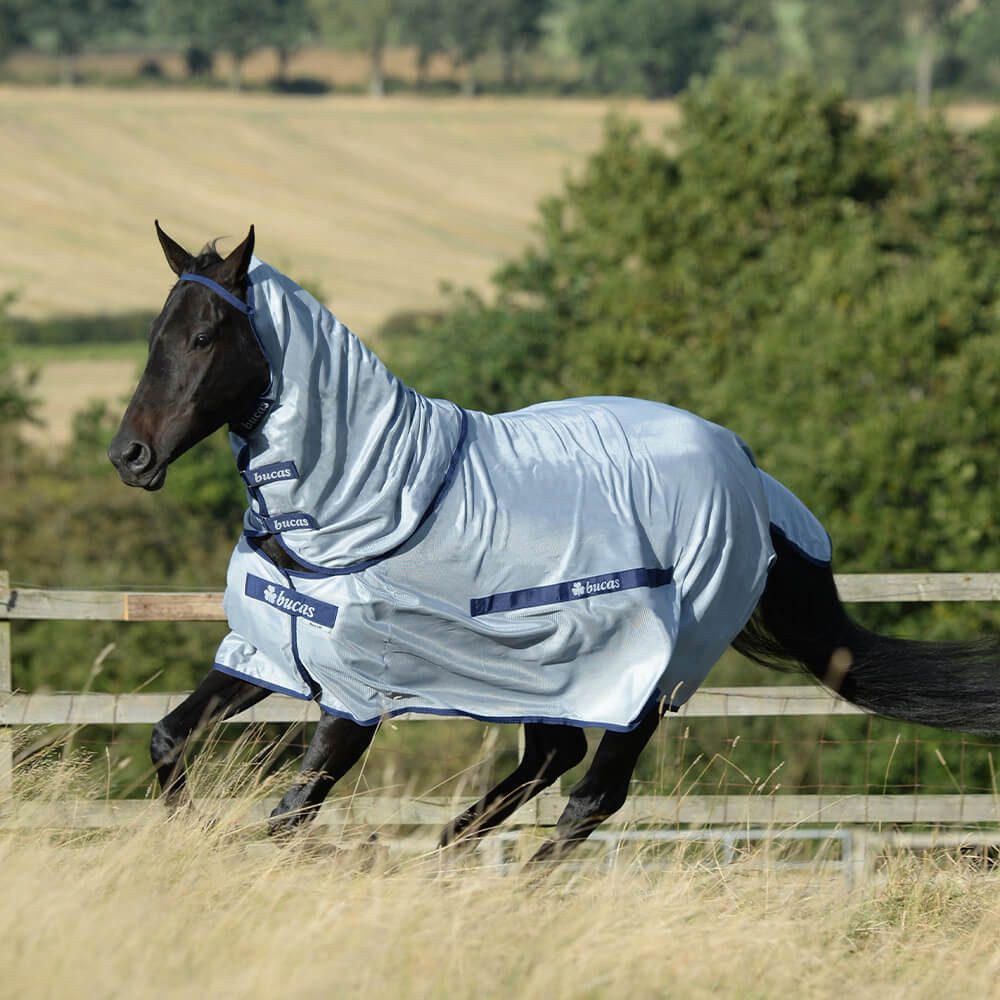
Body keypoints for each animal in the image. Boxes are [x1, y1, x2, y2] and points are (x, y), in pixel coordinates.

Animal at [109, 223, 1000, 866]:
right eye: (155, 333)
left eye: (204, 338)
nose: (130, 457)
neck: (356, 508)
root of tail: (750, 474)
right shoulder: (269, 652)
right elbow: (170, 740)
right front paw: (191, 835)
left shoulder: (356, 698)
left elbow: (288, 816)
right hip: (547, 670)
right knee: (552, 755)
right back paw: (448, 855)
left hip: (651, 676)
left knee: (590, 794)